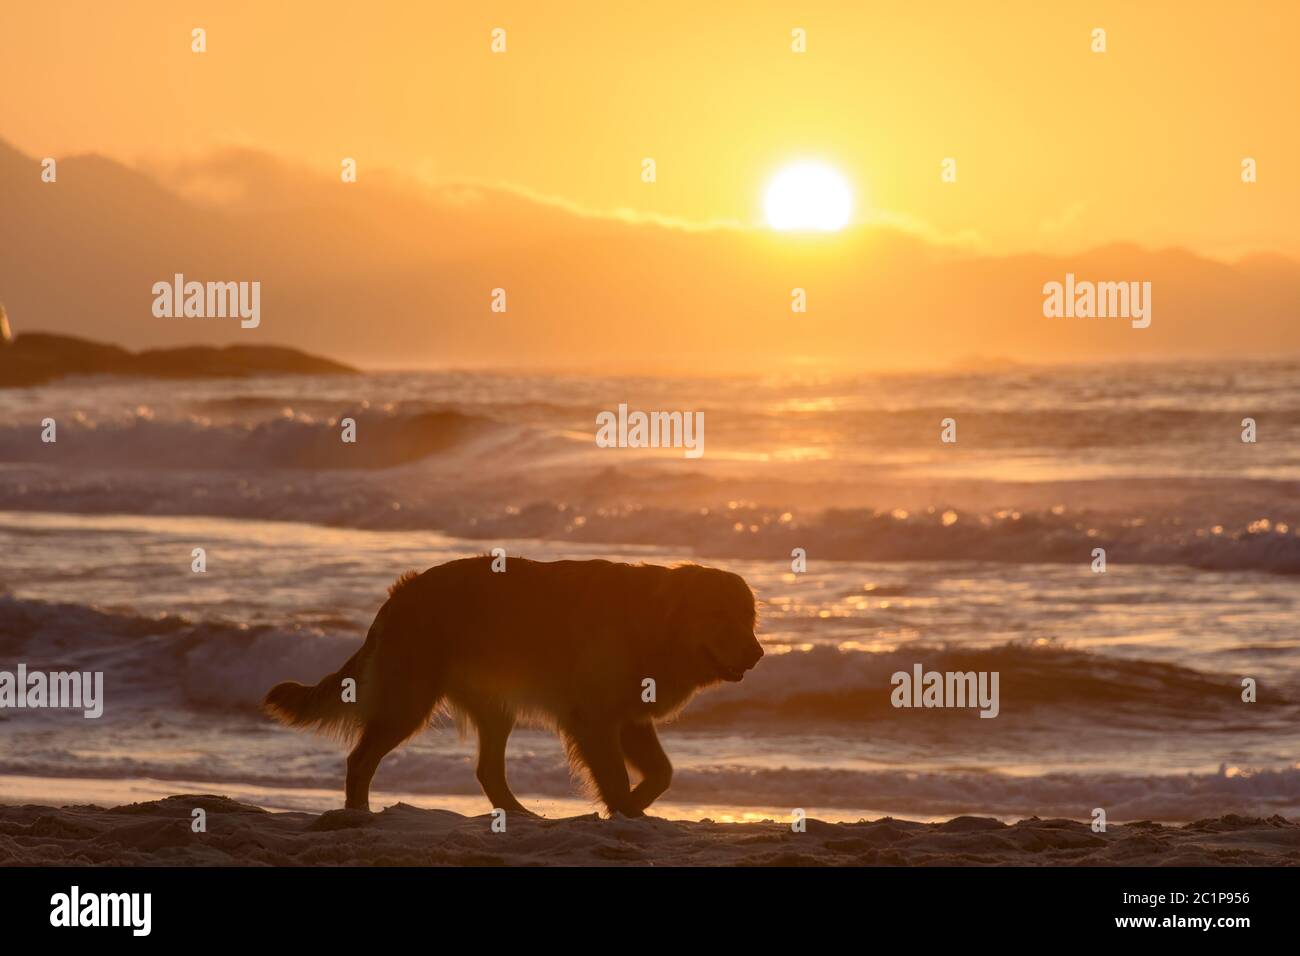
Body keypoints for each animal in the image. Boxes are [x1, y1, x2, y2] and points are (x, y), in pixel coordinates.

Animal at [263, 556, 759, 816]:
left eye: (749, 618)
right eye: (721, 616)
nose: (757, 655)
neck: (656, 624)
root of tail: (401, 593)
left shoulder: (629, 720)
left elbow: (662, 772)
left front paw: (630, 809)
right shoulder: (595, 719)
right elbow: (617, 777)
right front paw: (623, 810)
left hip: (494, 707)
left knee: (488, 771)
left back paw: (520, 815)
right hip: (410, 701)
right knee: (360, 760)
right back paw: (359, 814)